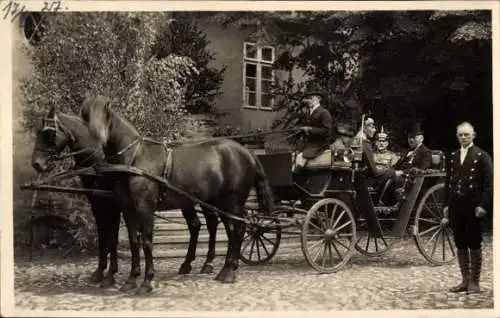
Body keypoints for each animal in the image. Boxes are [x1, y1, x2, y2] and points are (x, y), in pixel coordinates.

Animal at [30, 106, 121, 288]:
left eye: (49, 133)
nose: (36, 164)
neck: (99, 163)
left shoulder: (113, 207)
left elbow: (112, 237)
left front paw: (110, 275)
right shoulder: (97, 205)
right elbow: (102, 235)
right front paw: (99, 271)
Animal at [79, 93, 274, 294]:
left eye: (105, 111)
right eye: (86, 114)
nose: (98, 136)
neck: (134, 158)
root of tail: (248, 153)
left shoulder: (144, 208)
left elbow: (147, 242)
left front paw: (147, 281)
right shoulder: (127, 208)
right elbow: (134, 240)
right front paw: (131, 280)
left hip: (232, 203)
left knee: (237, 230)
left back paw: (229, 271)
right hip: (218, 203)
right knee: (229, 230)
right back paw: (223, 269)